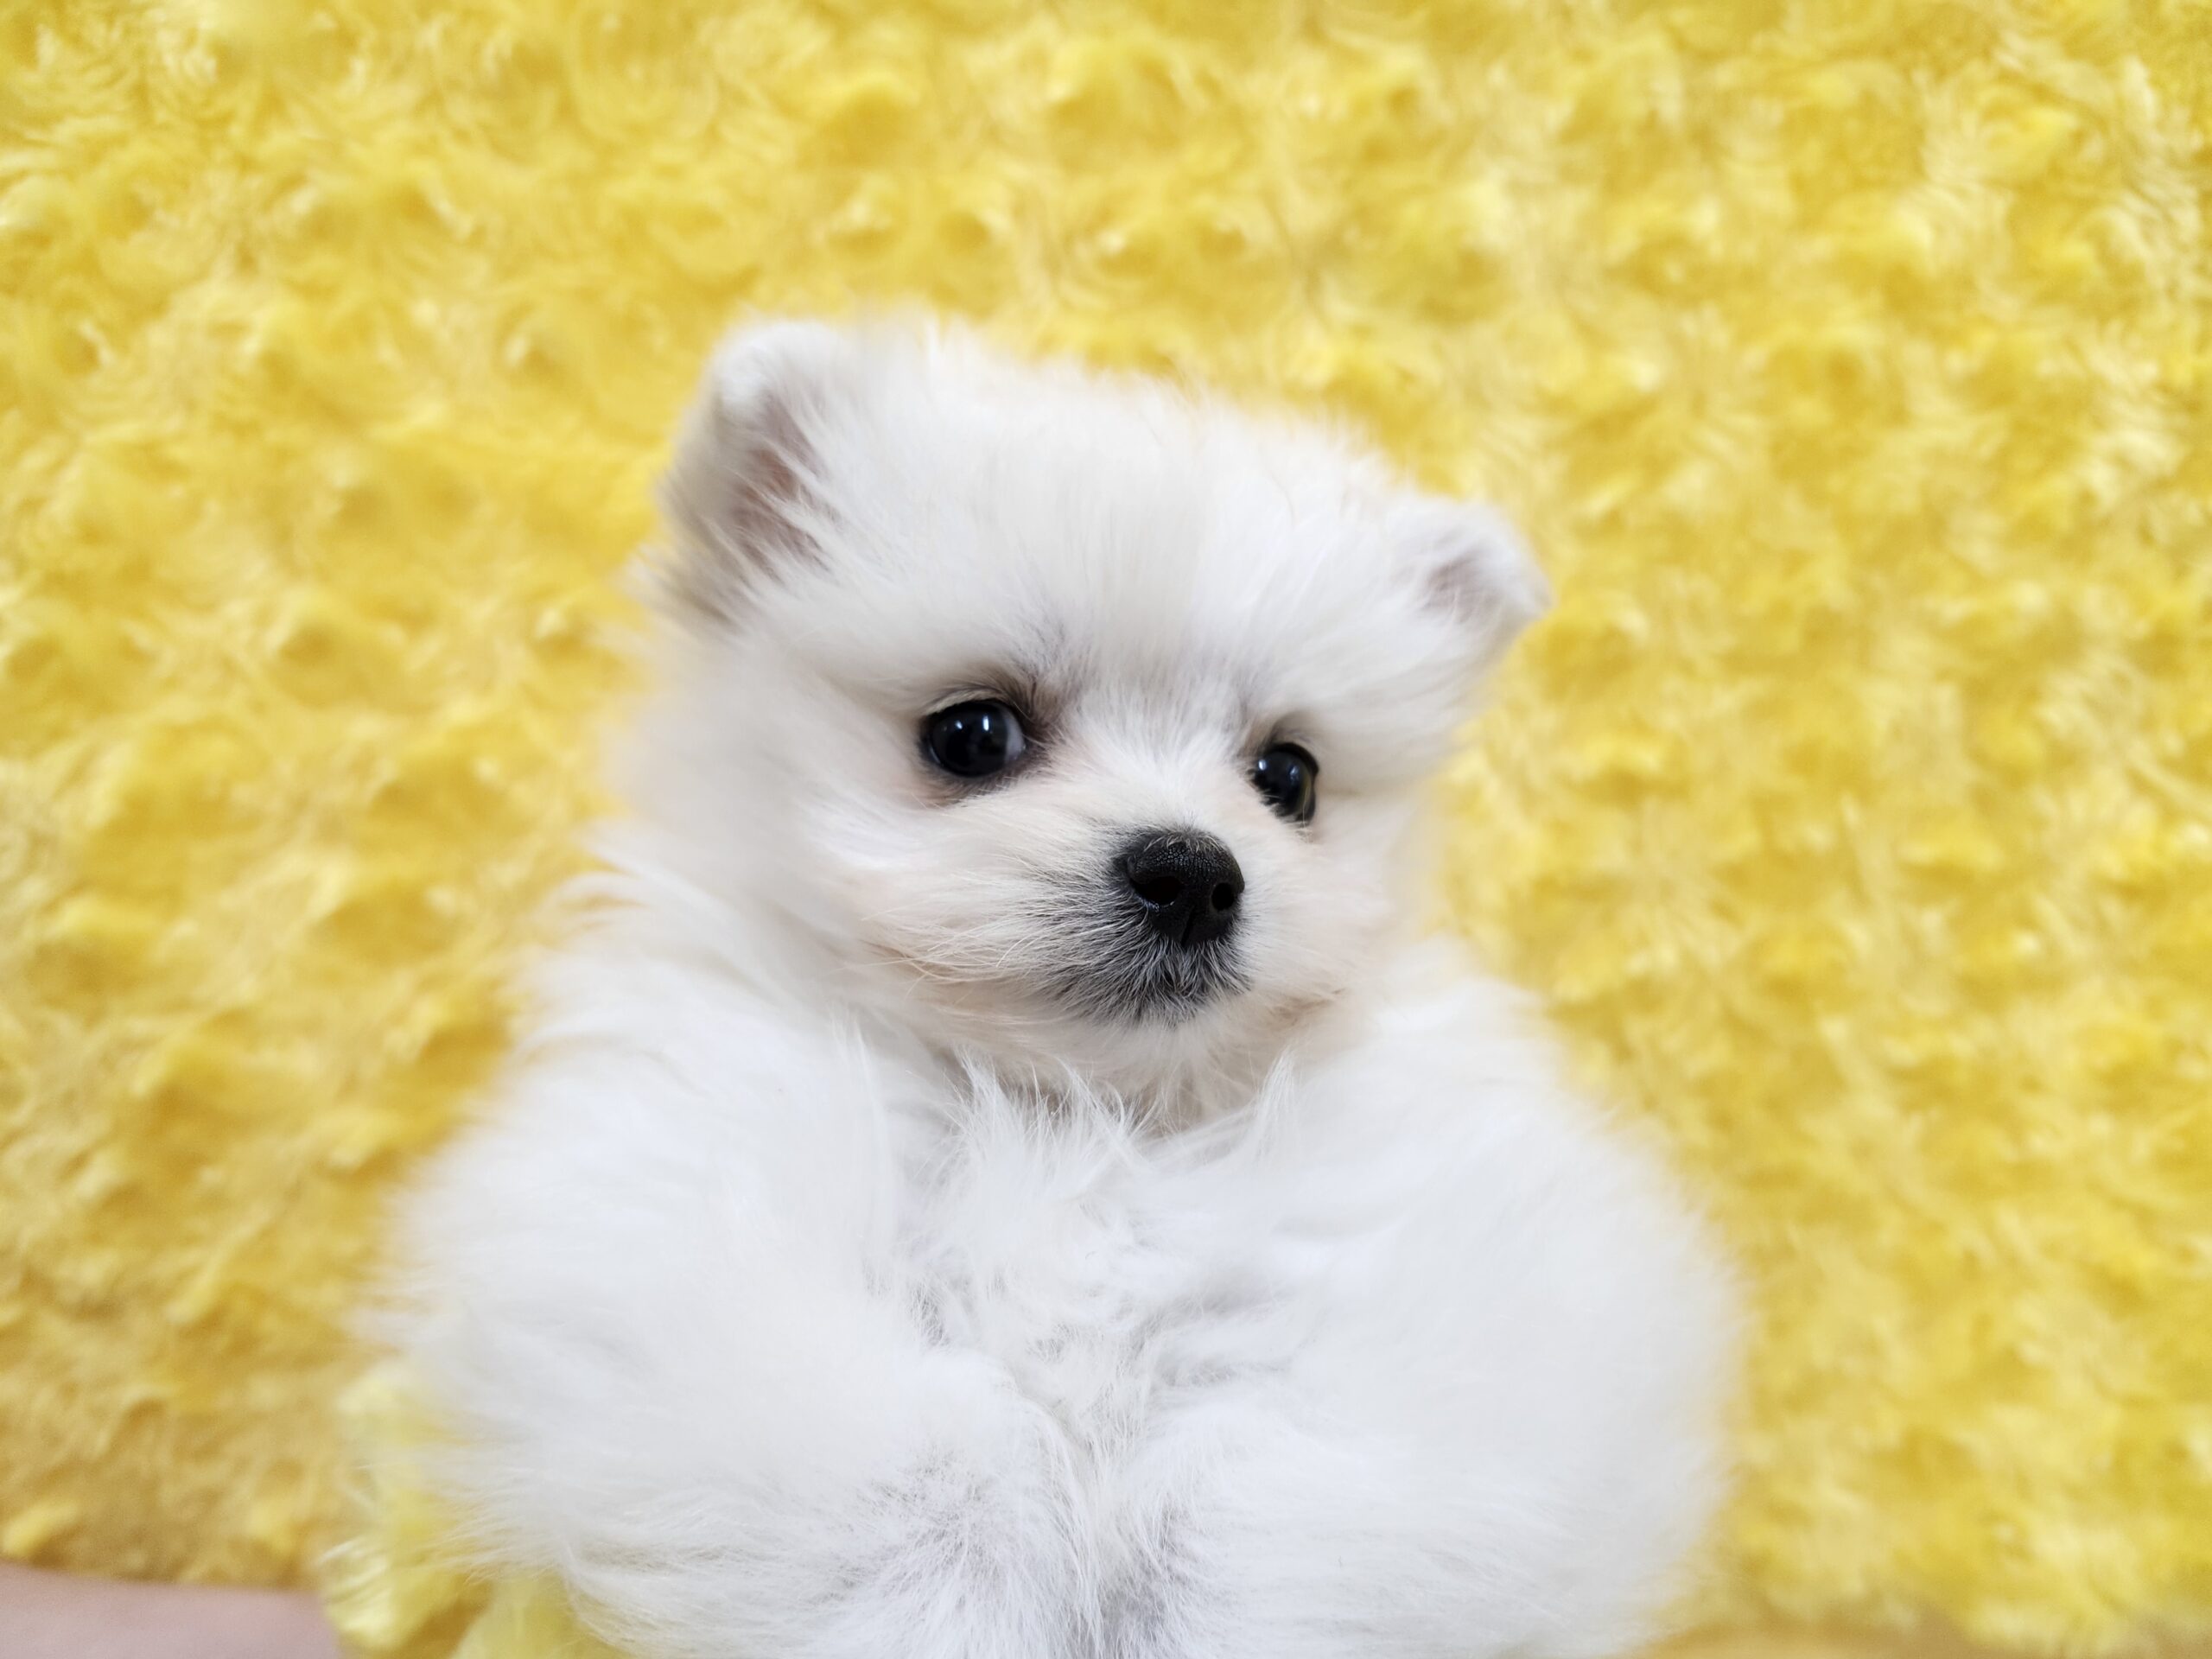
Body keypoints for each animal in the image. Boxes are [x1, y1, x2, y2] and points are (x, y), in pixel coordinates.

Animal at [393, 321, 1734, 1659]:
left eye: (1288, 777)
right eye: (972, 735)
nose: (1193, 872)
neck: (1077, 1113)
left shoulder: (1413, 1358)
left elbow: (1241, 1534)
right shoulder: (695, 1264)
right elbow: (929, 1501)